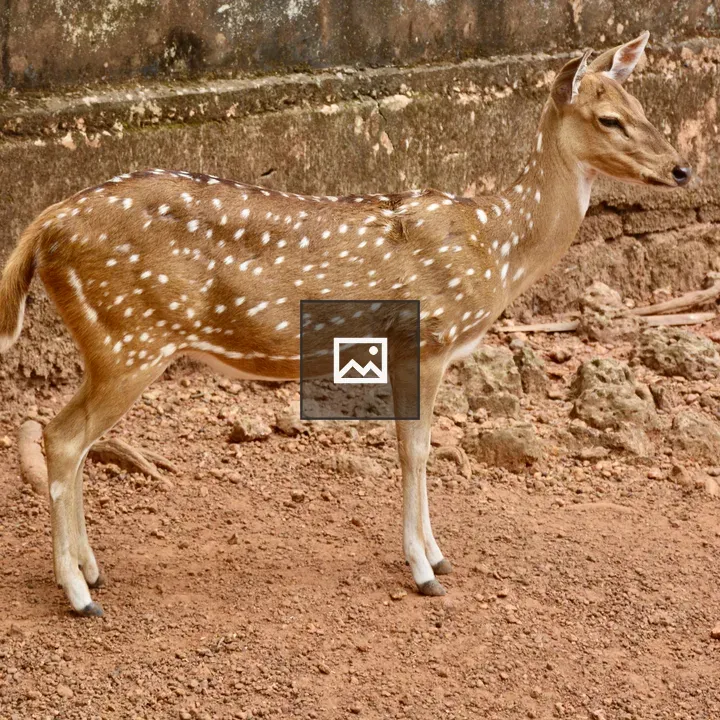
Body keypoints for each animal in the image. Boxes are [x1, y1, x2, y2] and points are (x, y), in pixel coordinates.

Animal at [0, 32, 692, 616]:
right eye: (608, 118)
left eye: (642, 103)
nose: (683, 168)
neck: (497, 247)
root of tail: (43, 228)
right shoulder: (427, 338)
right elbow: (417, 449)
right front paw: (425, 571)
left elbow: (414, 446)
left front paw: (437, 554)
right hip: (130, 337)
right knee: (63, 438)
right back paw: (79, 595)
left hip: (110, 343)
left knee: (70, 440)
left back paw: (92, 570)